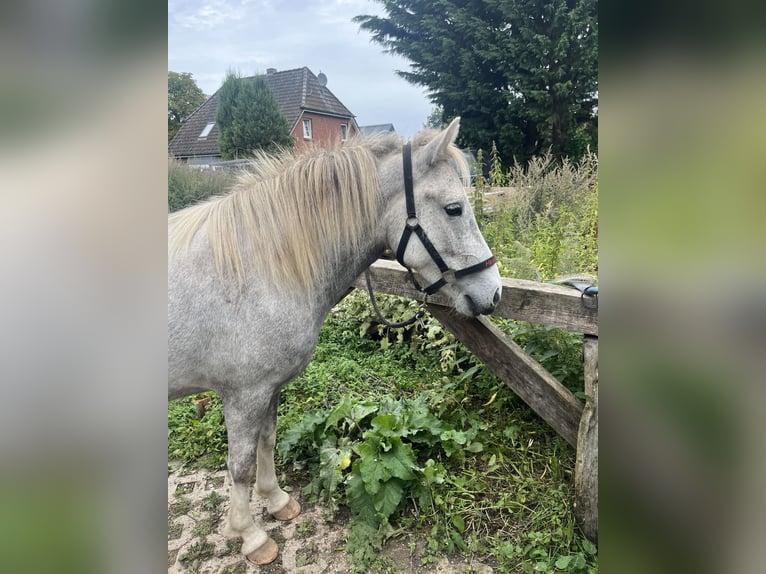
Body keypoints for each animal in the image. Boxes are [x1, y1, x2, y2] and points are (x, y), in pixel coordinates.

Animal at [168, 118, 502, 565]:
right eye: (454, 209)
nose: (494, 293)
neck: (257, 266)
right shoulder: (243, 394)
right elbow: (239, 466)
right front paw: (251, 536)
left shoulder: (268, 388)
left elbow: (267, 440)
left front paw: (276, 501)